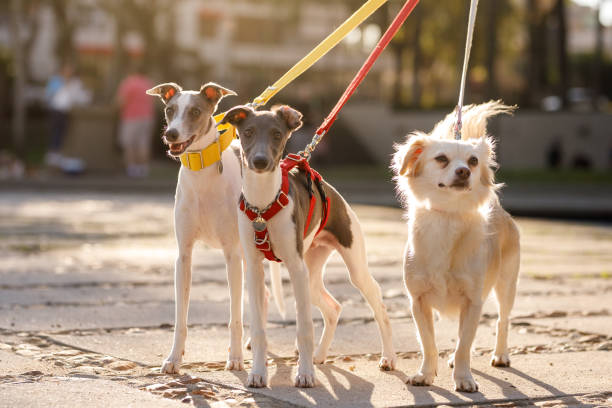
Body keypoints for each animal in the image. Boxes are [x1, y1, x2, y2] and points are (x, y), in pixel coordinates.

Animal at [147, 84, 286, 374]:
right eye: (170, 110)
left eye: (195, 111)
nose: (170, 134)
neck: (202, 173)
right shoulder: (184, 256)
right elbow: (181, 317)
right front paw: (174, 359)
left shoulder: (231, 255)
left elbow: (234, 316)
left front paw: (235, 359)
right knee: (264, 295)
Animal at [221, 104, 396, 388]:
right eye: (247, 132)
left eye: (277, 134)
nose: (260, 161)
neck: (263, 205)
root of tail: (334, 193)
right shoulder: (255, 270)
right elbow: (258, 329)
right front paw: (257, 373)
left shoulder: (295, 267)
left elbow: (304, 328)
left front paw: (304, 375)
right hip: (310, 275)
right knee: (333, 308)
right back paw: (320, 356)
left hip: (347, 268)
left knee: (378, 305)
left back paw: (388, 357)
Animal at [392, 101, 520, 392]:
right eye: (441, 159)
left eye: (473, 161)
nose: (465, 171)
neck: (448, 217)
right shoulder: (418, 301)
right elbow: (428, 343)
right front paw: (425, 374)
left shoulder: (473, 301)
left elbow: (464, 344)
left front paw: (464, 378)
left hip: (506, 284)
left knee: (502, 320)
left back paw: (501, 355)